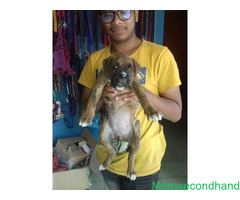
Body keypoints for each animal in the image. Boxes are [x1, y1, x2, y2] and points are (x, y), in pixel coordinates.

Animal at [78, 52, 161, 180]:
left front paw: (152, 112)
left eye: (130, 68)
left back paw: (131, 172)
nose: (123, 76)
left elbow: (143, 96)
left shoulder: (134, 82)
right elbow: (92, 99)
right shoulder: (99, 83)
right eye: (115, 66)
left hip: (136, 141)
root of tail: (120, 136)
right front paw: (87, 117)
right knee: (112, 151)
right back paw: (105, 164)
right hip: (103, 136)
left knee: (131, 157)